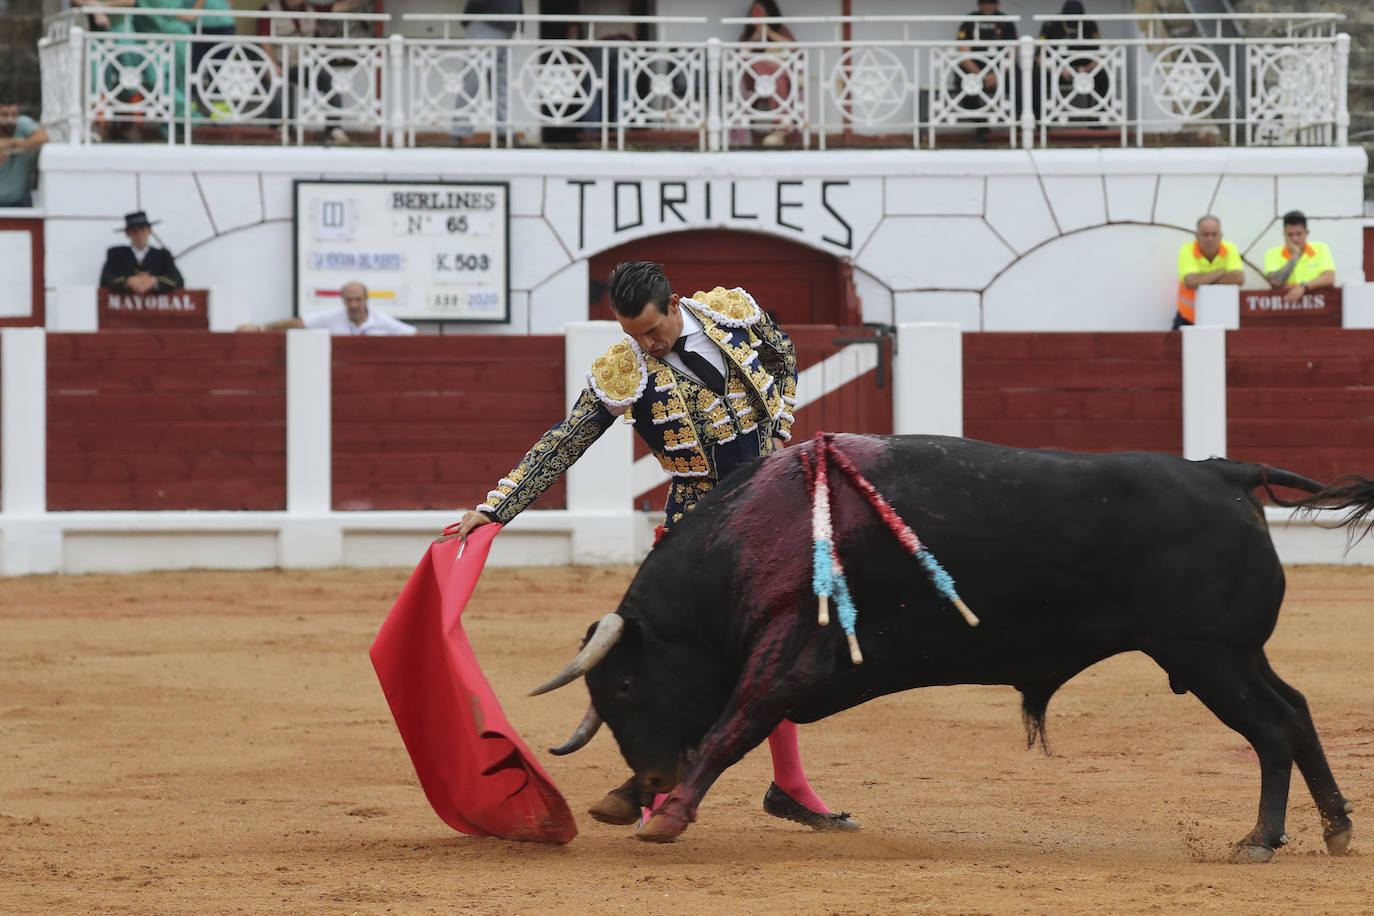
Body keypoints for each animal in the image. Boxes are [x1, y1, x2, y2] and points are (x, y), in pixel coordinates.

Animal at [527, 436, 1374, 862]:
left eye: (625, 688)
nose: (651, 780)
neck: (754, 534)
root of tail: (1224, 471)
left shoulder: (792, 654)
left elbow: (729, 726)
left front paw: (667, 816)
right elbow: (718, 724)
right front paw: (625, 799)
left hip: (1209, 656)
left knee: (1272, 729)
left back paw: (1261, 840)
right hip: (1231, 654)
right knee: (1296, 713)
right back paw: (1333, 828)